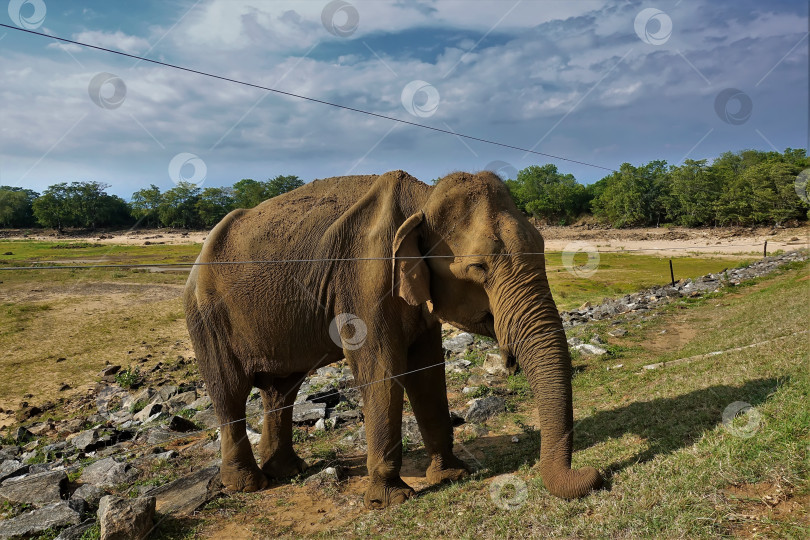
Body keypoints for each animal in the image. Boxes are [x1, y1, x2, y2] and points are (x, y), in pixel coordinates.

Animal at [183, 171, 600, 508]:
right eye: (478, 267)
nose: (593, 474)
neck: (422, 200)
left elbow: (427, 370)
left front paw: (452, 475)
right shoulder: (364, 278)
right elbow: (381, 368)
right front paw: (390, 500)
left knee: (281, 389)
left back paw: (287, 471)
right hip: (206, 318)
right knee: (230, 390)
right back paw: (248, 485)